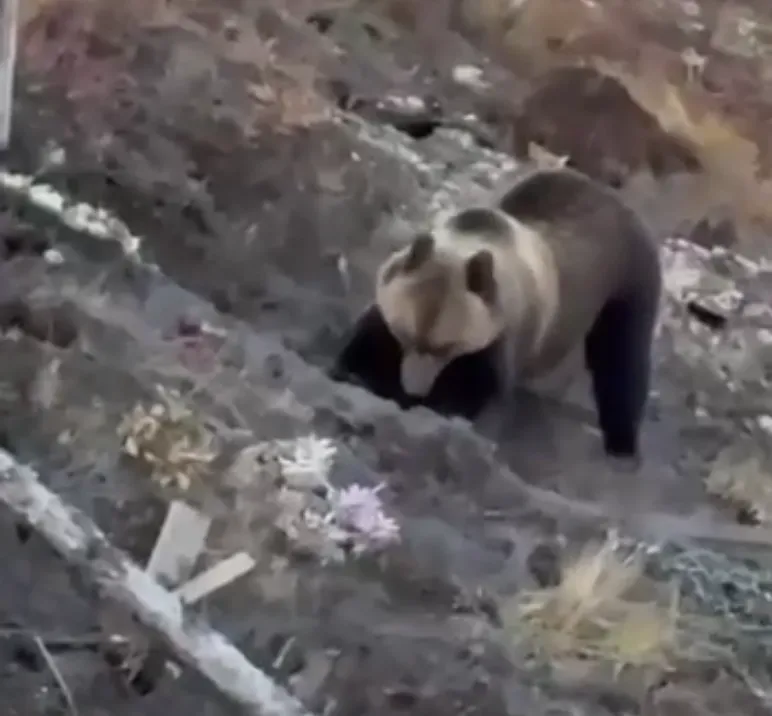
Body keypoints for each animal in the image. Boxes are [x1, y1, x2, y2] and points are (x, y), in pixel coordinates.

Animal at [331, 167, 662, 461]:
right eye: (405, 333)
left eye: (447, 346)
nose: (414, 389)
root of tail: (615, 199)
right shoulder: (391, 306)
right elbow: (366, 342)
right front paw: (357, 374)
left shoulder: (500, 333)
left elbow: (477, 390)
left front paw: (440, 410)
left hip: (628, 282)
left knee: (622, 358)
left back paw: (621, 443)